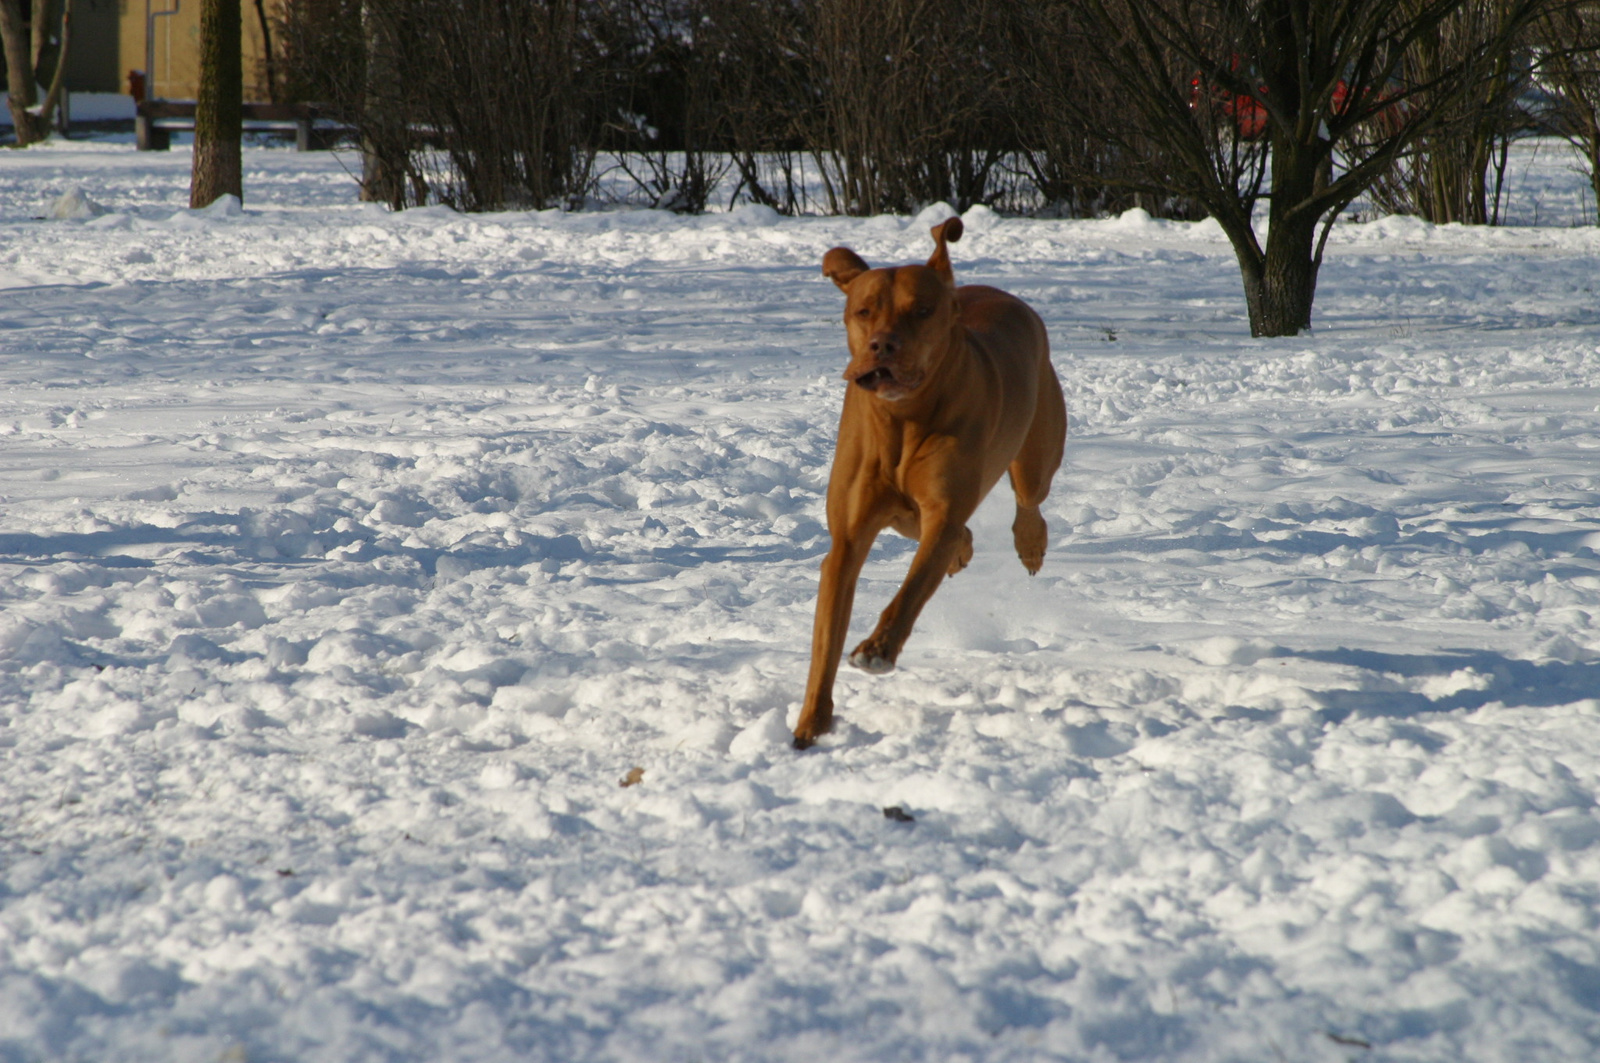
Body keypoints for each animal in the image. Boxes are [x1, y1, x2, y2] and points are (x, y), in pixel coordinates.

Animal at [793, 216, 1068, 746]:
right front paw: (811, 723)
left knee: (1029, 498)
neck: (903, 418)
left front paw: (877, 649)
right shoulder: (847, 540)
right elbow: (825, 641)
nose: (883, 345)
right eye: (863, 311)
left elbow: (913, 587)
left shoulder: (943, 509)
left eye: (921, 311)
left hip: (1037, 450)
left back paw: (1029, 542)